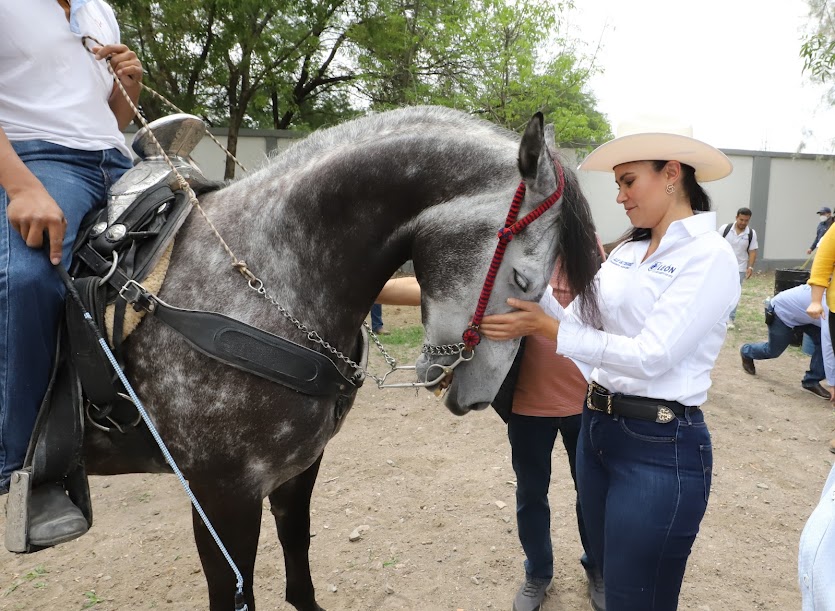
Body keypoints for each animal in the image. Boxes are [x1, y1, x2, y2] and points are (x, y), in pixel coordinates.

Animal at [81, 107, 596, 608]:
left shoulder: (297, 469)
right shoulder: (219, 493)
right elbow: (234, 588)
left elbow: (297, 556)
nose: (479, 398)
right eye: (525, 280)